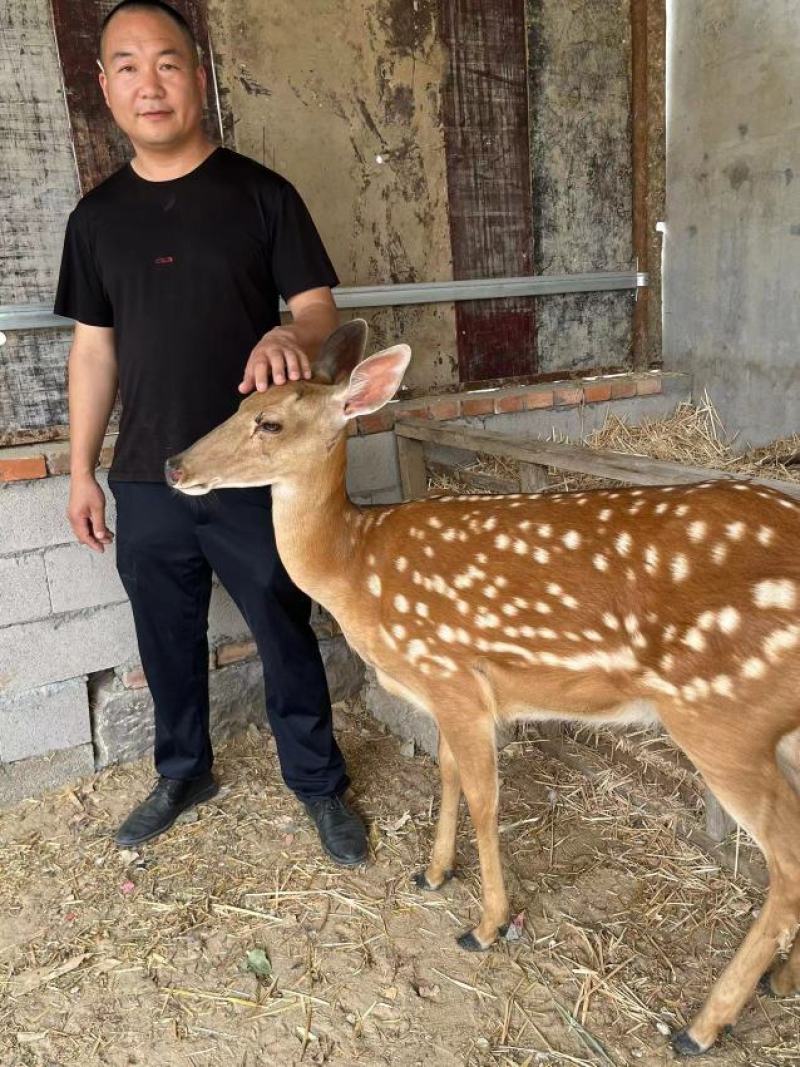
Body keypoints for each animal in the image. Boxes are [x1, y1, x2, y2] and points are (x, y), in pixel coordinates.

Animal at [165, 320, 800, 1056]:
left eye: (268, 421)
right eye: (241, 402)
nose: (174, 465)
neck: (357, 567)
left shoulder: (452, 674)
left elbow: (483, 799)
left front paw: (486, 925)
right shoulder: (443, 691)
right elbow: (445, 774)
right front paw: (434, 871)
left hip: (722, 715)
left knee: (788, 863)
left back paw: (701, 1025)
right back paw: (781, 980)